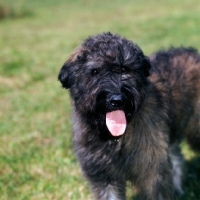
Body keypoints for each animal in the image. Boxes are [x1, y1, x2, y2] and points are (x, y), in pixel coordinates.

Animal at [58, 32, 200, 199]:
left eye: (124, 69)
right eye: (95, 71)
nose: (117, 100)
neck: (115, 138)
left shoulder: (152, 171)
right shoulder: (103, 176)